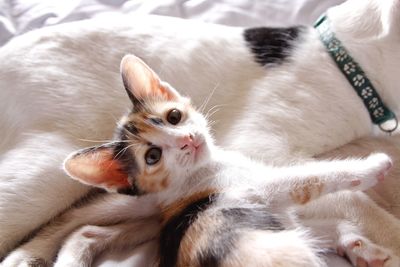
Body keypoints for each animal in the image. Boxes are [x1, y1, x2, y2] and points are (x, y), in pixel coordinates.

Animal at [0, 0, 400, 262]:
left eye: (176, 117)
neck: (347, 60)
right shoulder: (261, 150)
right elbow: (352, 196)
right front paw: (390, 234)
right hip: (44, 176)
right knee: (65, 218)